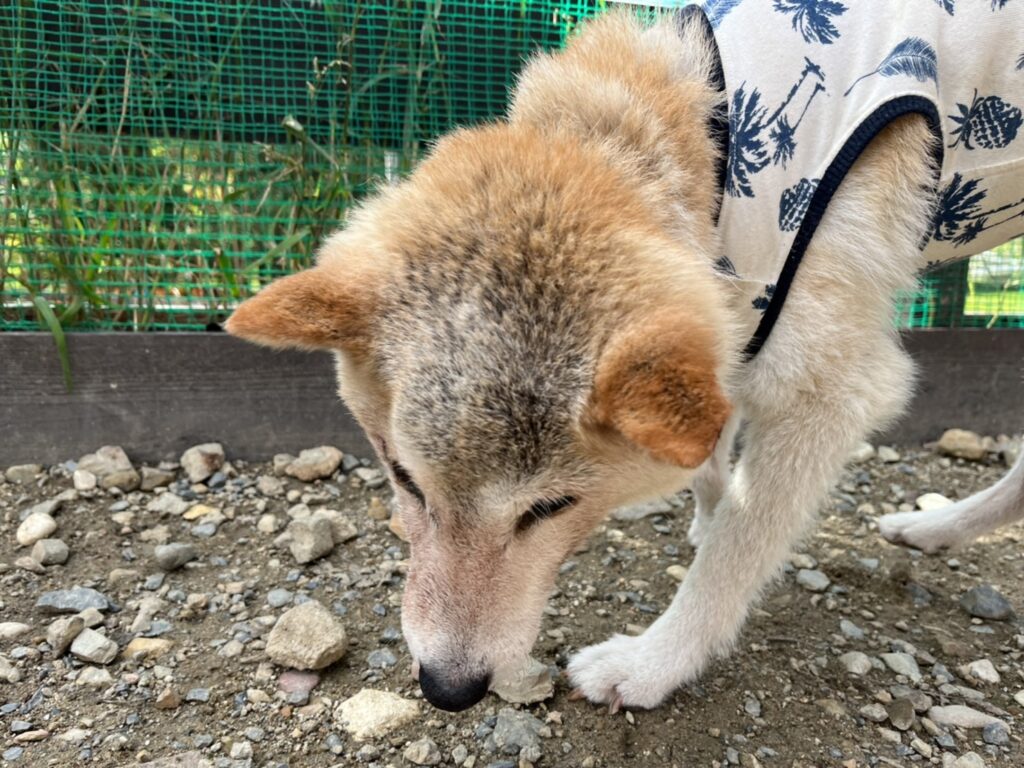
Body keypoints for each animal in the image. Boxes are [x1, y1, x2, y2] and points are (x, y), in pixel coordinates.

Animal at [226, 6, 1024, 713]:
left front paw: (652, 662)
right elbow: (711, 448)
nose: (448, 689)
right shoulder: (731, 328)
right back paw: (933, 529)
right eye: (403, 481)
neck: (710, 138)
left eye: (550, 507)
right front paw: (707, 509)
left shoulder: (828, 391)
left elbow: (733, 556)